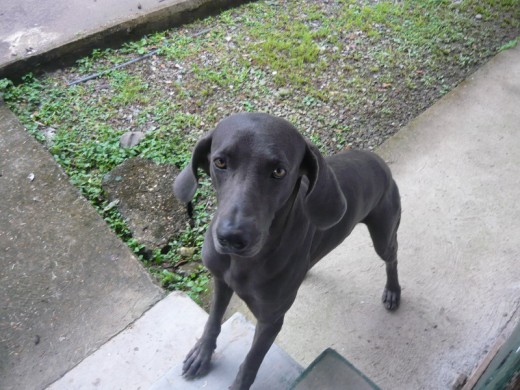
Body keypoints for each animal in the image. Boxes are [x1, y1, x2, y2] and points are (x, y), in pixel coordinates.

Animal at [175, 111, 402, 388]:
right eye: (219, 162)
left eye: (279, 171)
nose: (232, 238)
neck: (241, 264)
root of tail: (378, 160)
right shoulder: (220, 281)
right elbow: (213, 321)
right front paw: (202, 354)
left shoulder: (271, 320)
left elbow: (250, 363)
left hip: (383, 233)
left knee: (392, 257)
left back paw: (393, 291)